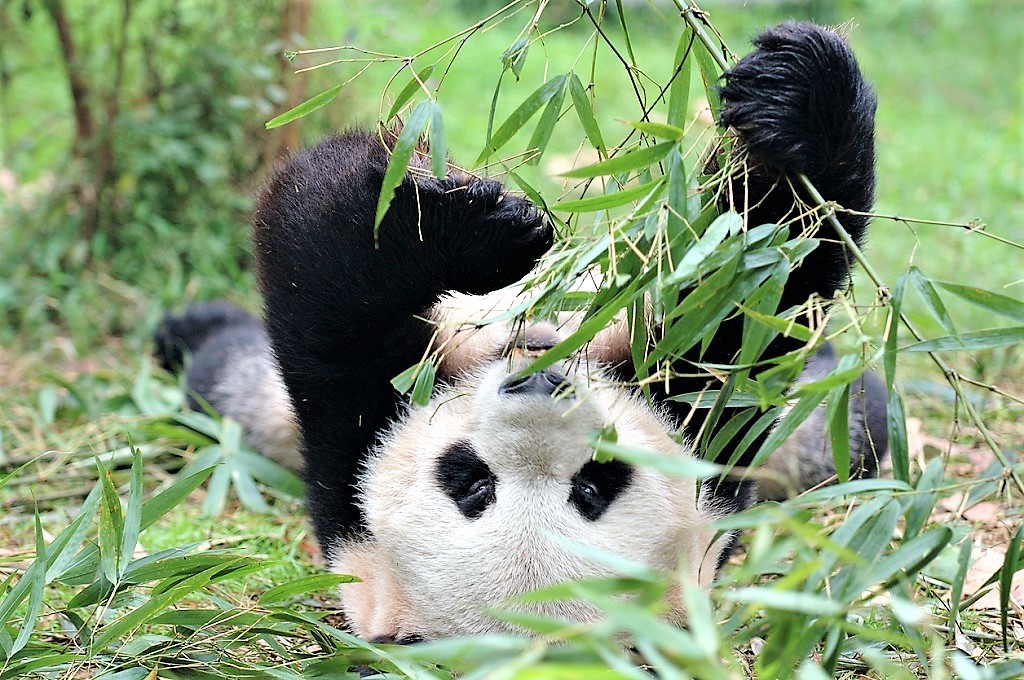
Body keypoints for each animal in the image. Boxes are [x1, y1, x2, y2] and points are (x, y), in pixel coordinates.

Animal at [156, 22, 886, 642]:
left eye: (594, 486)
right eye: (470, 483)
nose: (539, 388)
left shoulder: (707, 426)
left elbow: (753, 297)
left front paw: (797, 99)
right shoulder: (352, 448)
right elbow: (331, 279)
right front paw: (472, 223)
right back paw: (187, 330)